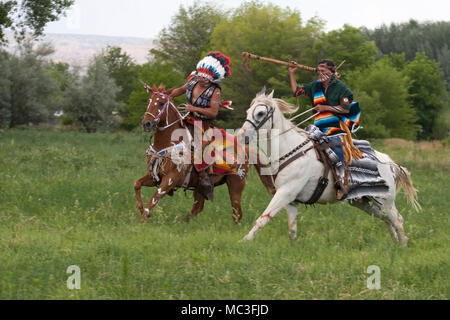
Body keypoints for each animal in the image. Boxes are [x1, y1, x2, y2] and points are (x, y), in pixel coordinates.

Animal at [133, 86, 268, 224]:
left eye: (161, 103)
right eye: (149, 101)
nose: (146, 123)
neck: (168, 143)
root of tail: (245, 149)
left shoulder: (170, 179)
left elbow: (154, 199)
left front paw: (143, 219)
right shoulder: (155, 175)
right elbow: (137, 184)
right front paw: (140, 209)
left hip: (236, 184)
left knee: (237, 212)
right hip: (201, 187)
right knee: (198, 207)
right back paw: (182, 221)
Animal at [241, 89, 420, 246]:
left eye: (260, 113)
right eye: (248, 111)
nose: (242, 136)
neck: (291, 149)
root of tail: (389, 163)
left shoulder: (285, 192)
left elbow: (264, 217)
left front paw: (244, 241)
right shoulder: (291, 201)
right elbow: (292, 230)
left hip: (385, 201)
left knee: (397, 219)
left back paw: (402, 246)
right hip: (363, 202)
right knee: (385, 218)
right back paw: (397, 242)